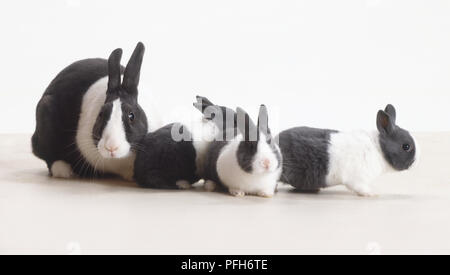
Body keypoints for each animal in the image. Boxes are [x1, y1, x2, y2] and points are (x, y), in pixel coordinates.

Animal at [32, 41, 151, 181]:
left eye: (131, 116)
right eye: (100, 114)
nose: (111, 147)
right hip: (45, 111)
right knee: (49, 157)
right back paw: (63, 171)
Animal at [278, 104, 418, 197]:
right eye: (406, 146)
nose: (416, 161)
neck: (379, 149)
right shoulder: (358, 179)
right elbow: (361, 188)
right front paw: (373, 193)